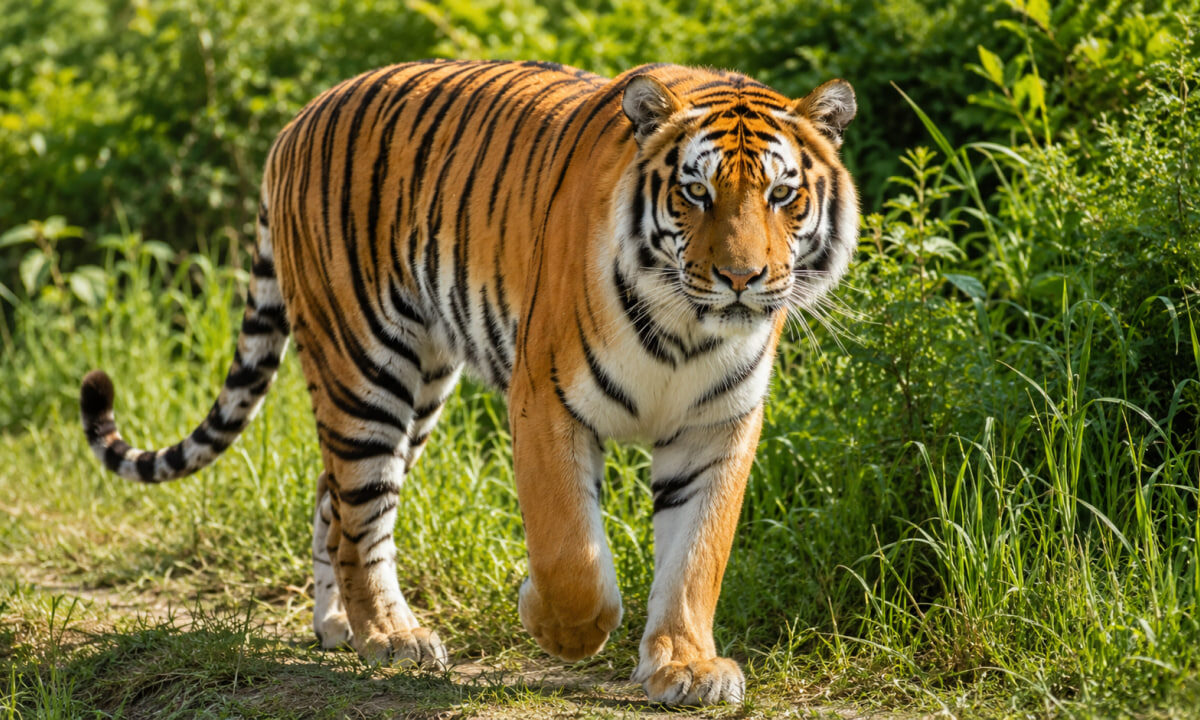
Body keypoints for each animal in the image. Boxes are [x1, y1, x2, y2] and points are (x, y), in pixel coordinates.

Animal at [79, 59, 858, 705]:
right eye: (696, 193)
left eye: (783, 195)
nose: (741, 278)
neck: (686, 332)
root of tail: (297, 121)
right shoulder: (546, 399)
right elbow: (571, 554)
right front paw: (557, 626)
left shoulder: (717, 428)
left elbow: (698, 557)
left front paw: (687, 667)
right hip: (365, 366)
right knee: (361, 512)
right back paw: (390, 636)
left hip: (421, 384)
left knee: (334, 501)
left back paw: (339, 626)